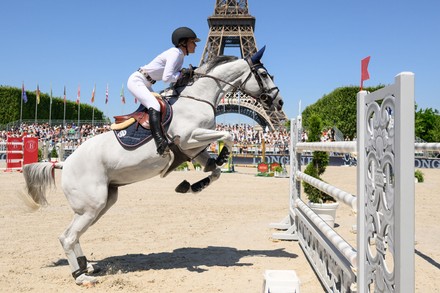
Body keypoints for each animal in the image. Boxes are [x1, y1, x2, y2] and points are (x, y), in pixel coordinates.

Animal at [21, 46, 282, 284]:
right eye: (264, 74)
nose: (278, 101)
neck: (199, 97)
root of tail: (64, 163)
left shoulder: (191, 149)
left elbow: (215, 171)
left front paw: (192, 185)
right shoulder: (190, 138)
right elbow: (227, 136)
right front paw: (221, 156)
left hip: (102, 203)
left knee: (73, 235)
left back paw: (88, 267)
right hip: (91, 205)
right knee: (67, 237)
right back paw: (81, 277)